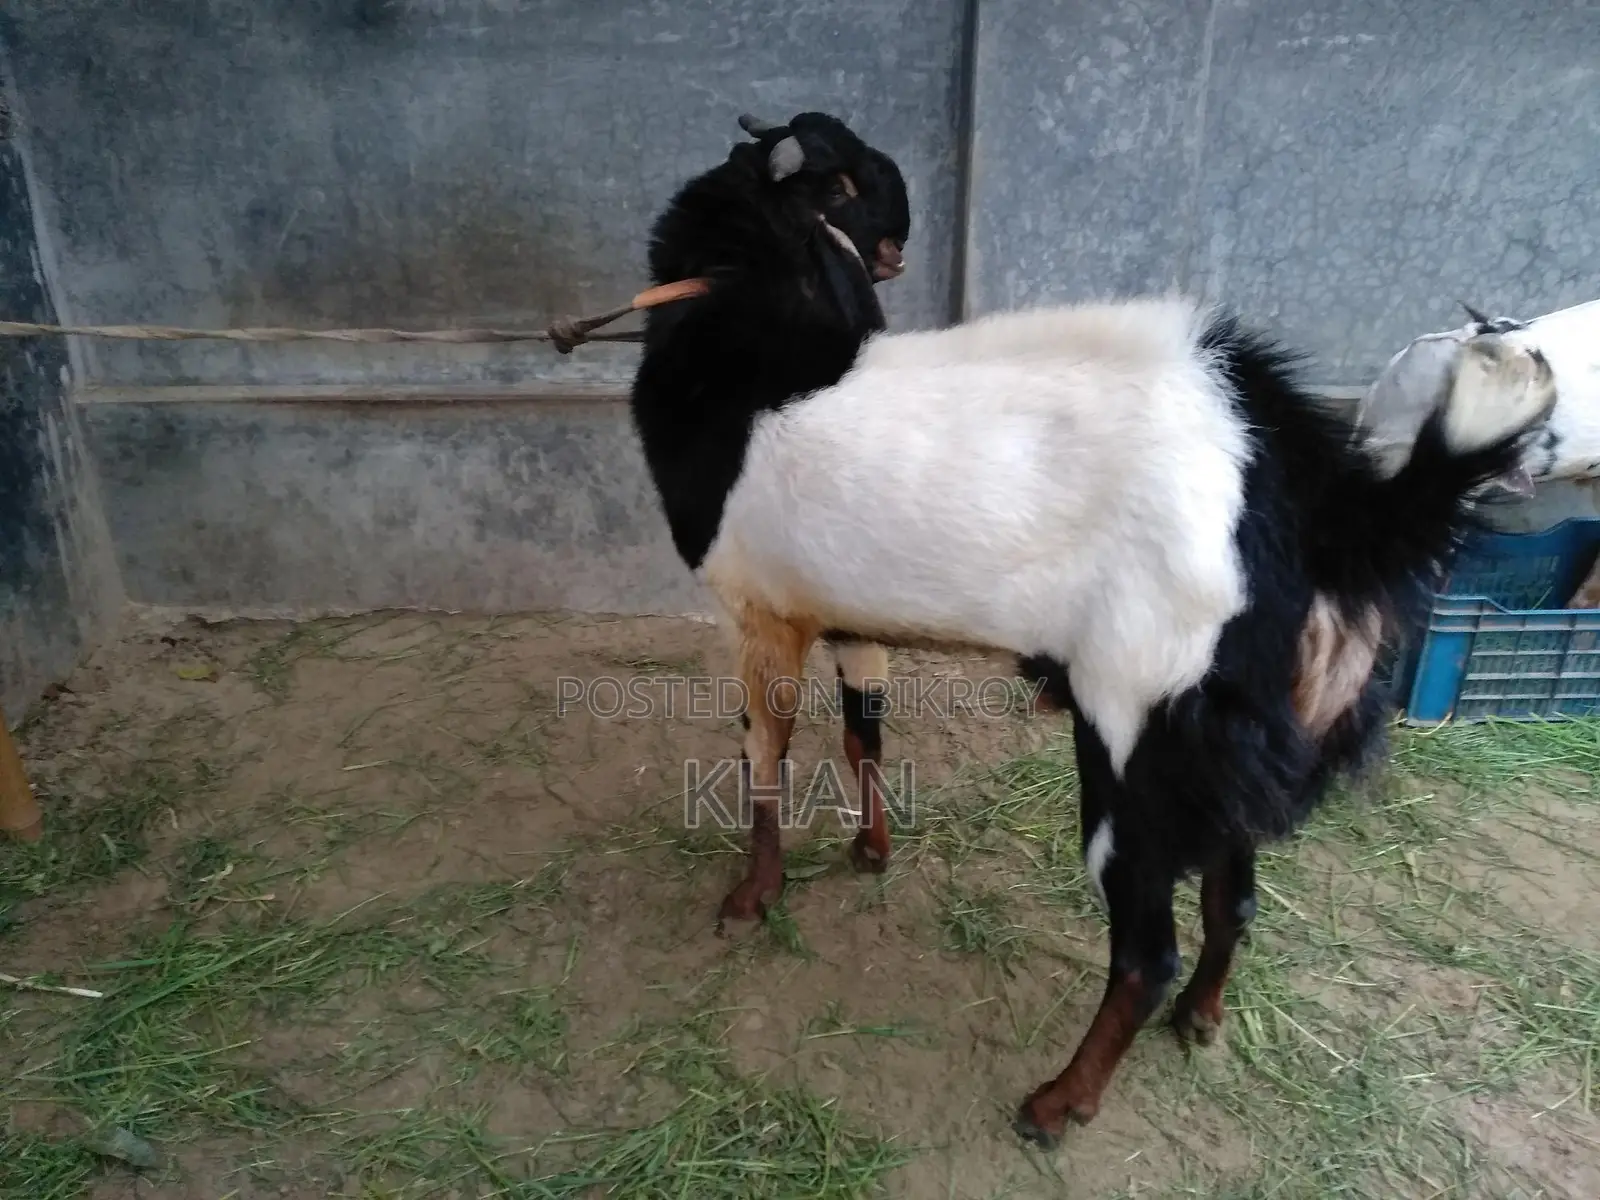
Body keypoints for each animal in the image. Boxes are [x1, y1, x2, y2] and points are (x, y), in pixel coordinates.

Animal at [628, 111, 1559, 1149]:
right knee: (1235, 896)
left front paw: (751, 897)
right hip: (1221, 747)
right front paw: (870, 851)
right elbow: (864, 729)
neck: (751, 349)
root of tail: (1314, 496)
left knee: (1147, 951)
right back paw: (1202, 1016)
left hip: (1135, 736)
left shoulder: (760, 611)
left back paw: (1060, 1101)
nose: (895, 246)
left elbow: (764, 750)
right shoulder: (846, 615)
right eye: (856, 190)